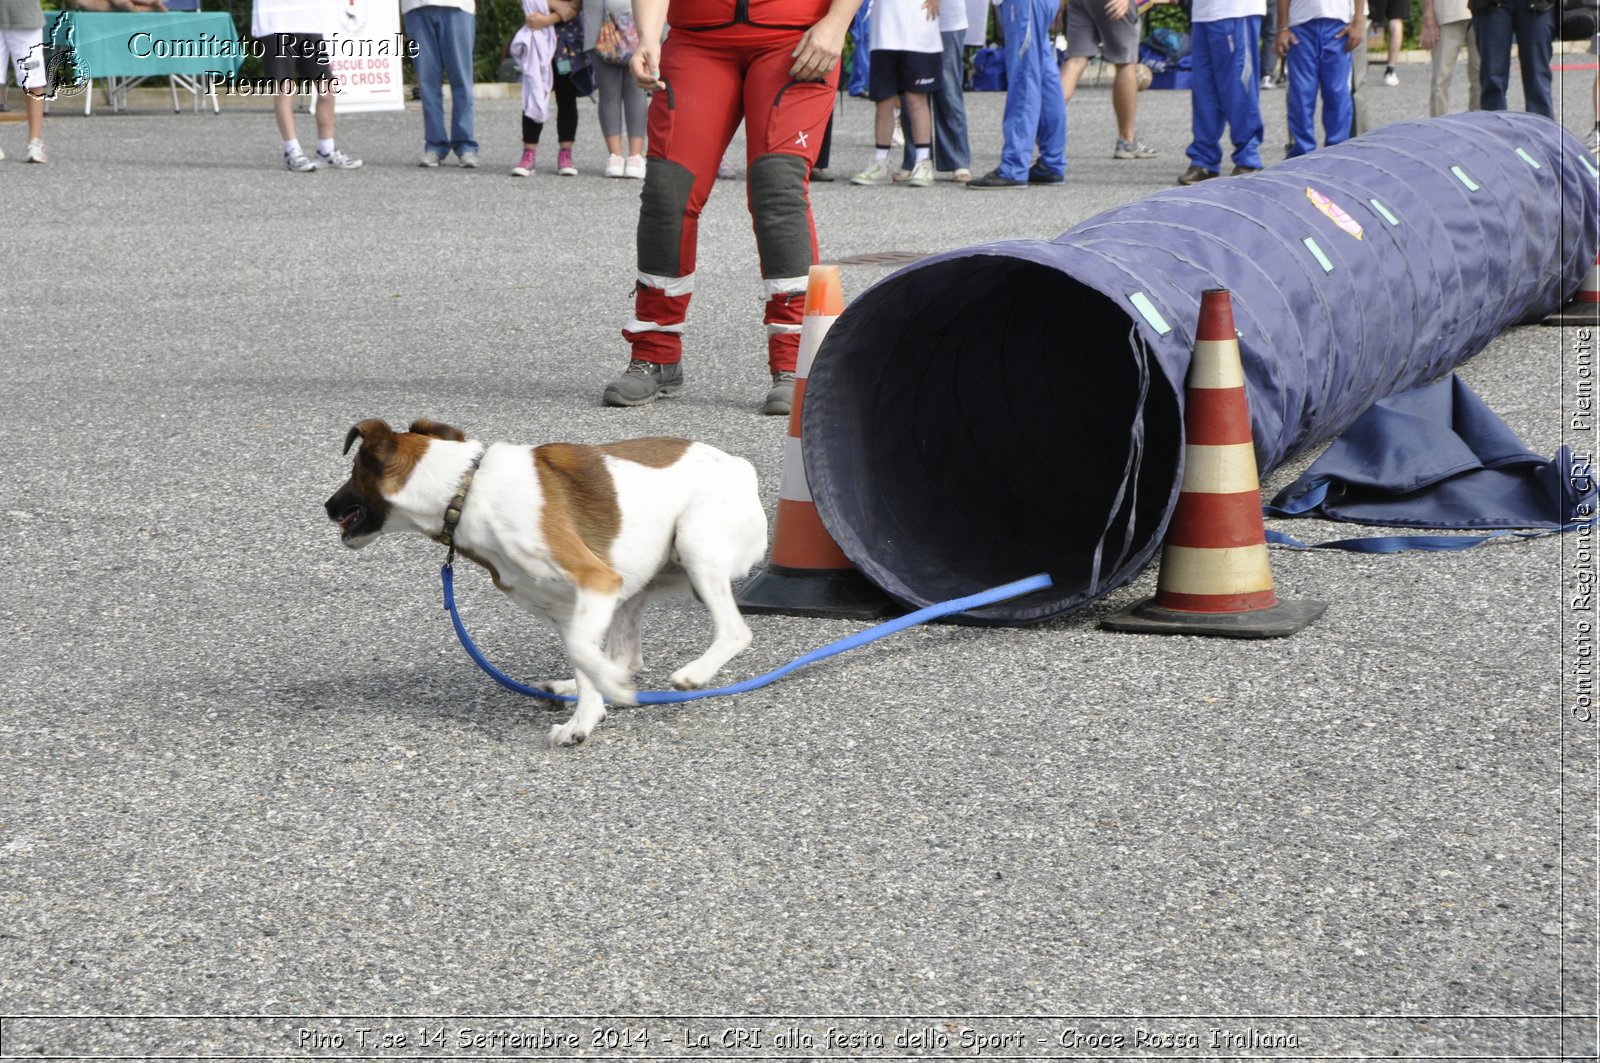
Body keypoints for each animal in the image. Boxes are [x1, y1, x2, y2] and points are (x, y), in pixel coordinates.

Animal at [324, 419, 768, 742]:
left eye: (353, 471)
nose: (327, 506)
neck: (464, 489)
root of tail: (740, 467)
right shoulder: (568, 605)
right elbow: (582, 654)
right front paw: (586, 716)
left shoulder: (596, 579)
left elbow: (584, 652)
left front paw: (600, 702)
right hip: (635, 582)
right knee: (625, 657)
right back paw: (576, 686)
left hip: (695, 547)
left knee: (734, 631)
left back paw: (693, 674)